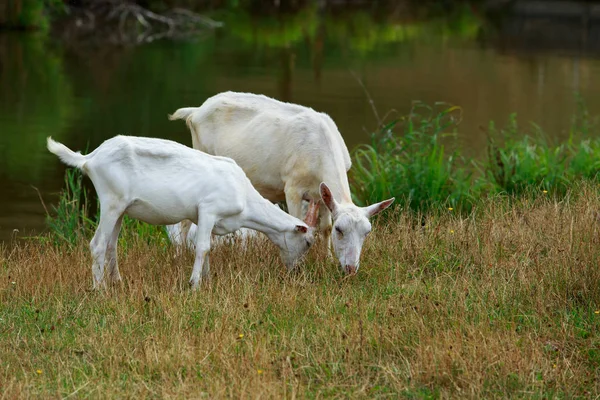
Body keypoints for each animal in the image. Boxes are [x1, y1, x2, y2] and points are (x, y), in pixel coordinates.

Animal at [47, 136, 318, 290]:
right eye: (307, 243)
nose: (296, 272)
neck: (245, 200)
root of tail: (90, 158)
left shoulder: (210, 220)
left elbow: (208, 246)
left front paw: (207, 280)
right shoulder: (208, 209)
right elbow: (203, 247)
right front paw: (194, 284)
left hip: (120, 208)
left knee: (111, 244)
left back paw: (117, 282)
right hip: (110, 200)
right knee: (97, 244)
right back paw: (99, 289)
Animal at [170, 91, 394, 276]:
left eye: (367, 232)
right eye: (341, 230)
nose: (351, 269)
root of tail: (195, 111)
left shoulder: (320, 195)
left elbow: (324, 227)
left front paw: (328, 260)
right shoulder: (293, 187)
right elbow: (298, 221)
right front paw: (299, 263)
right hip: (200, 153)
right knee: (185, 221)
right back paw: (180, 256)